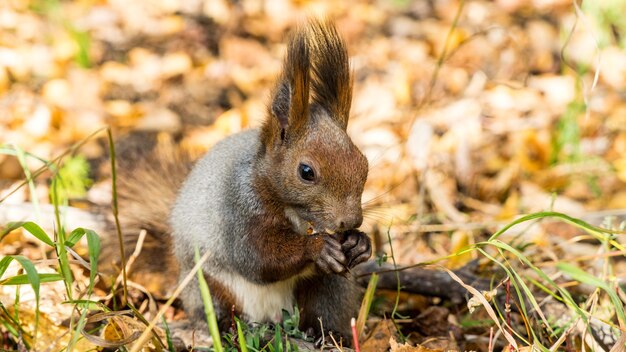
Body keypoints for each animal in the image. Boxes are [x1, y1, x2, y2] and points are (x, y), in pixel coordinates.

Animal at [100, 20, 368, 344]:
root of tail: (272, 317)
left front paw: (360, 243)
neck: (297, 215)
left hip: (327, 286)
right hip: (207, 284)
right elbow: (258, 258)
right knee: (220, 307)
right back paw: (229, 329)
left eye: (364, 163)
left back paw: (326, 334)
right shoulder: (236, 212)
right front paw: (317, 248)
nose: (350, 221)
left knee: (322, 308)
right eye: (306, 171)